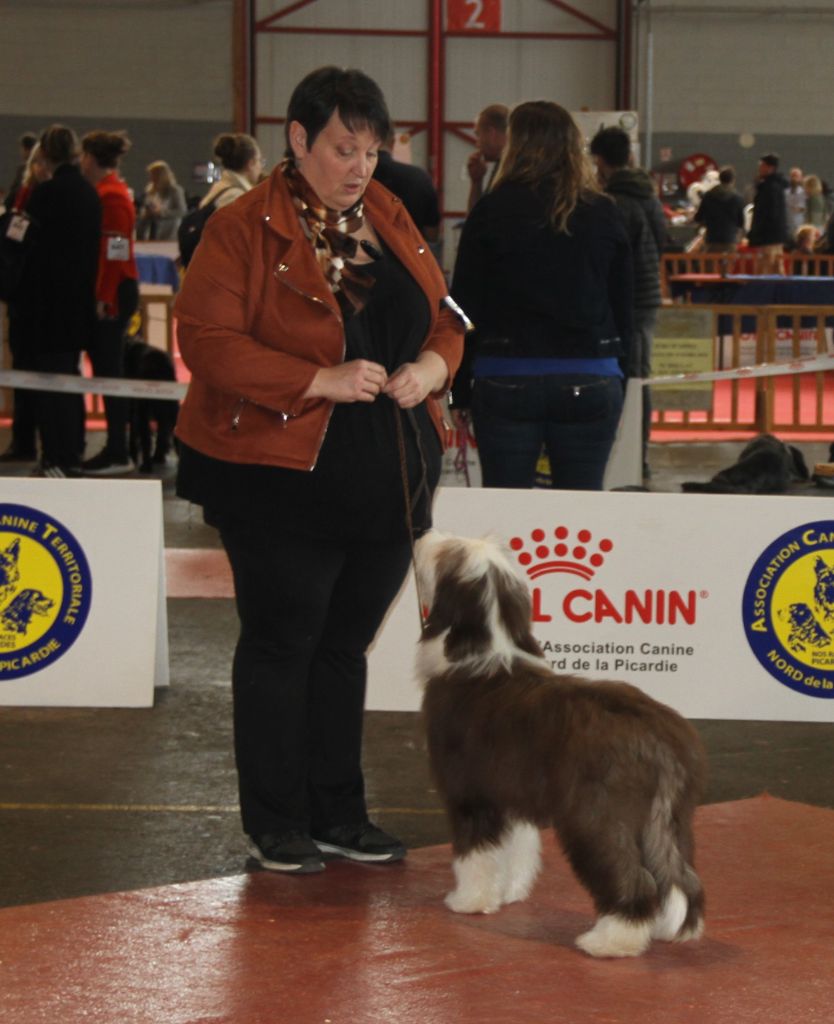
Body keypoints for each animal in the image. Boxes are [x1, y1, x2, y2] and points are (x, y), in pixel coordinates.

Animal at [414, 531, 707, 959]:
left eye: (448, 553)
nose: (425, 536)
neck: (485, 652)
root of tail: (659, 735)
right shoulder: (511, 795)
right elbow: (516, 849)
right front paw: (510, 892)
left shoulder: (471, 794)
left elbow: (476, 855)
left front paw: (469, 900)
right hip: (669, 819)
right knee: (680, 875)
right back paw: (676, 929)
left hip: (598, 817)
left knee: (632, 877)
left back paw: (610, 940)